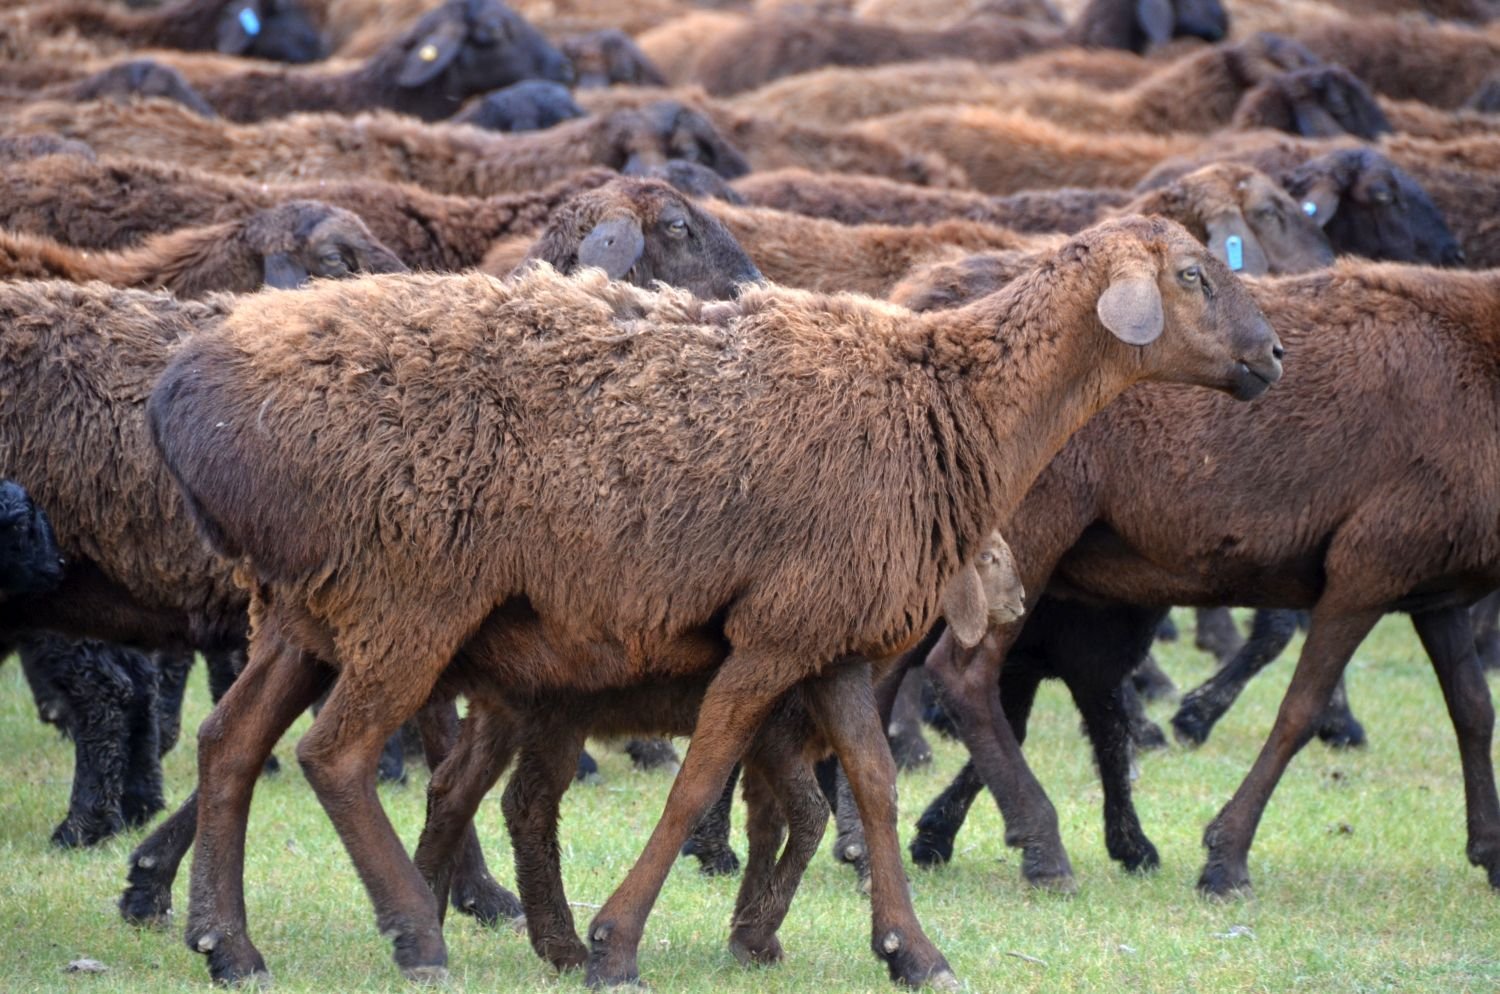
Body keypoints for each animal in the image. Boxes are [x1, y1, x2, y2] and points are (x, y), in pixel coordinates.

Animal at [146, 215, 1284, 989]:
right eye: (1193, 275)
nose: (1275, 355)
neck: (952, 402)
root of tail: (182, 389)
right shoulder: (772, 632)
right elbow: (700, 778)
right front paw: (615, 943)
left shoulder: (834, 639)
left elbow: (871, 787)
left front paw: (909, 947)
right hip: (406, 596)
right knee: (331, 755)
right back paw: (416, 934)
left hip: (302, 607)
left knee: (228, 745)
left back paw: (228, 944)